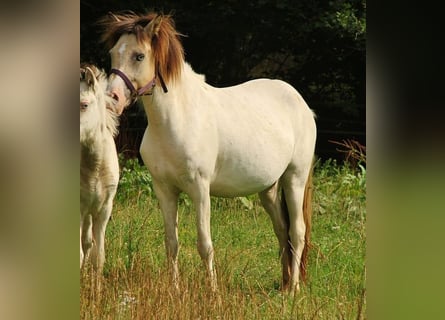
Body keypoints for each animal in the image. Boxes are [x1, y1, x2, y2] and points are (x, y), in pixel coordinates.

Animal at [100, 11, 316, 292]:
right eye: (113, 53)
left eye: (139, 56)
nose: (111, 99)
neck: (176, 118)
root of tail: (302, 104)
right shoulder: (164, 190)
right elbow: (171, 243)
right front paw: (174, 290)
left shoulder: (200, 190)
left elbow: (205, 244)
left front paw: (212, 292)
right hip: (269, 188)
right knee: (281, 231)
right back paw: (284, 282)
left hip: (294, 179)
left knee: (297, 232)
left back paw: (292, 290)